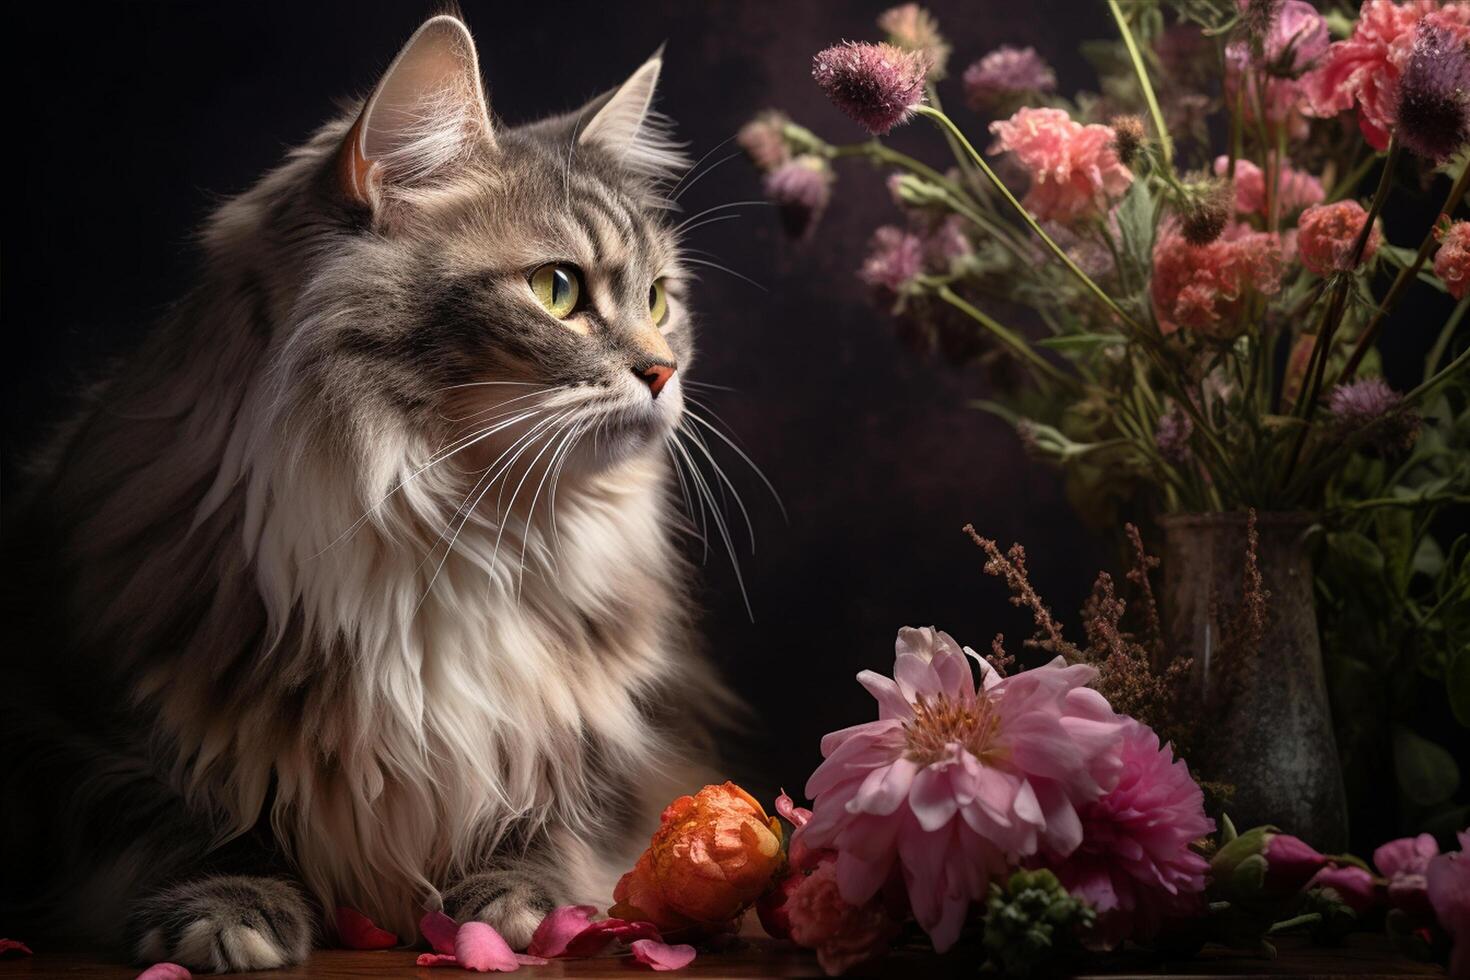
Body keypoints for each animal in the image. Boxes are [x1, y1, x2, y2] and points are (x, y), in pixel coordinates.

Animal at [0, 13, 735, 975]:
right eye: (557, 289)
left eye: (658, 299)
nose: (665, 370)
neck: (453, 530)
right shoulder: (88, 723)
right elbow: (191, 821)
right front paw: (225, 910)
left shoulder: (616, 739)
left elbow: (559, 822)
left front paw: (520, 905)